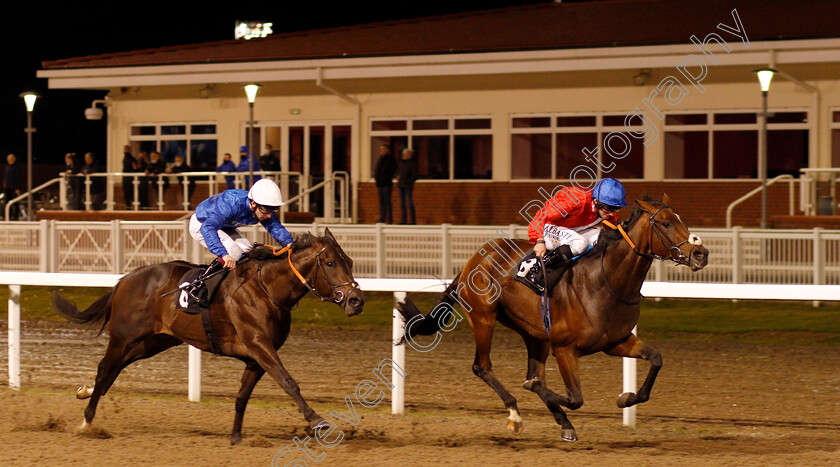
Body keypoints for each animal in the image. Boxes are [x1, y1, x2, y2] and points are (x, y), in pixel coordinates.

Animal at [52, 229, 360, 446]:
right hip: (124, 336)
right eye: (330, 263)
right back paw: (86, 422)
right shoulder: (259, 345)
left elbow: (242, 396)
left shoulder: (256, 357)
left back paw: (85, 391)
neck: (266, 289)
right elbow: (288, 381)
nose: (357, 300)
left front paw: (236, 437)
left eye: (349, 261)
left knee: (112, 371)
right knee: (105, 368)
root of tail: (125, 280)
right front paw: (317, 420)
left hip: (153, 342)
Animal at [398, 194, 708, 442]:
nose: (700, 253)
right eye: (665, 223)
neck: (606, 281)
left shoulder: (616, 341)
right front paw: (539, 394)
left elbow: (656, 360)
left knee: (529, 369)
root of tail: (475, 257)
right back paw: (515, 413)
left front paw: (626, 397)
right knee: (482, 367)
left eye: (682, 220)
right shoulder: (565, 348)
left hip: (535, 334)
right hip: (484, 317)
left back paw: (563, 423)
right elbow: (574, 397)